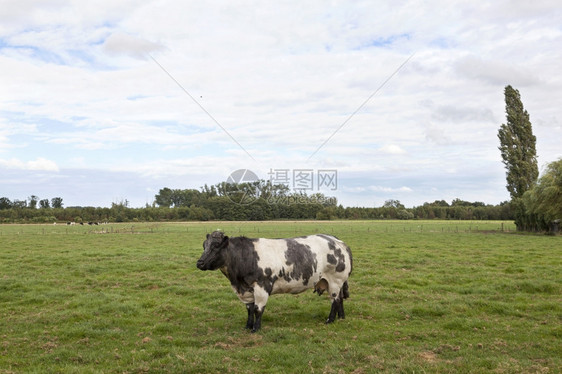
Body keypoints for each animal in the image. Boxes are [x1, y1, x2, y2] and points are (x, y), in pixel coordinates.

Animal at [195, 231, 348, 334]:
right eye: (204, 245)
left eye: (216, 246)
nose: (200, 263)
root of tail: (335, 240)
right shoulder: (247, 290)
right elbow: (250, 309)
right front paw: (248, 326)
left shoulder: (262, 287)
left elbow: (258, 309)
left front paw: (255, 329)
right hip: (333, 282)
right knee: (340, 299)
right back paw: (341, 318)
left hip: (335, 280)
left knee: (334, 300)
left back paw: (330, 320)